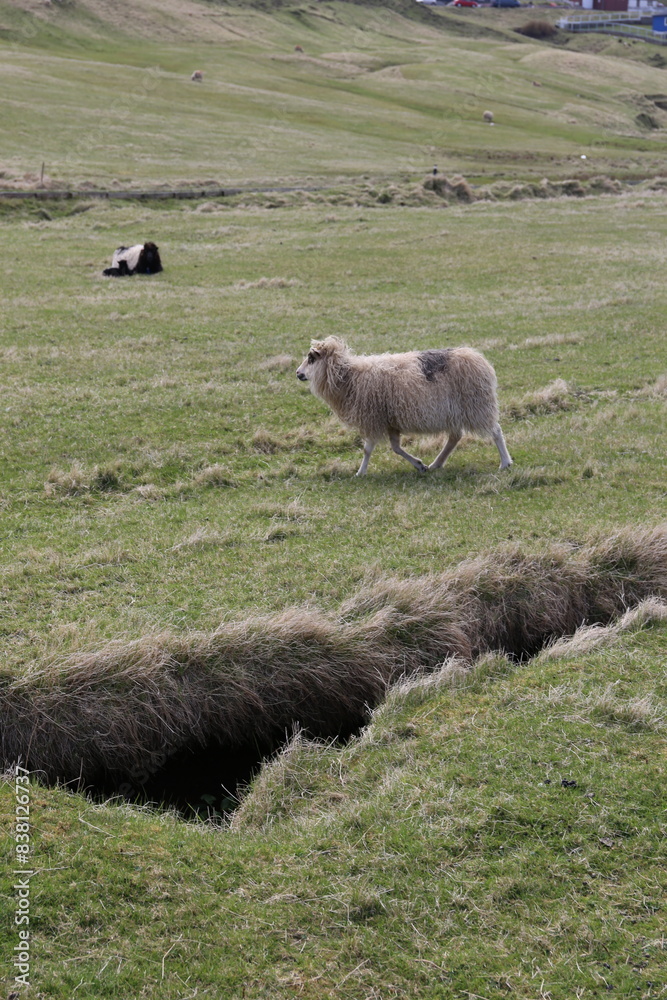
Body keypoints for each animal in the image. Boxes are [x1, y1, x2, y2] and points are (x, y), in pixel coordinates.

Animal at [296, 337, 512, 476]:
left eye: (311, 359)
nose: (298, 373)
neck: (348, 377)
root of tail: (478, 359)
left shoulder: (373, 418)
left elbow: (367, 449)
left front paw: (360, 472)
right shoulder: (389, 421)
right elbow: (396, 448)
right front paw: (419, 465)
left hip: (477, 405)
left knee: (495, 431)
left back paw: (505, 463)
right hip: (455, 411)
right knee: (454, 437)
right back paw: (436, 464)